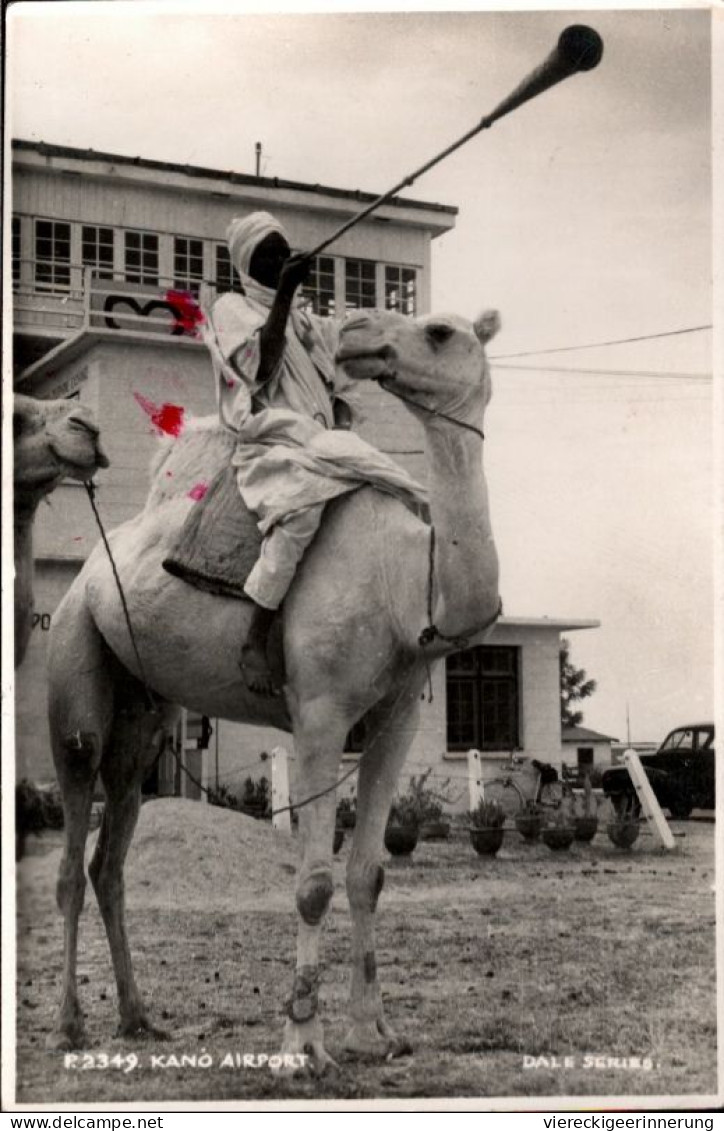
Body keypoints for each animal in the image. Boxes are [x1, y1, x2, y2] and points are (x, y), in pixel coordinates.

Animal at [43, 305, 497, 1063]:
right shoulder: (319, 712)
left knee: (110, 857)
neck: (406, 582)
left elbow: (368, 873)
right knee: (72, 846)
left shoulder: (397, 716)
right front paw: (301, 1043)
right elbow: (312, 883)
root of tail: (90, 574)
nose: (360, 332)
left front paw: (374, 1032)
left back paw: (138, 1016)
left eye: (438, 332)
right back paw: (71, 1023)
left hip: (143, 711)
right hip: (75, 650)